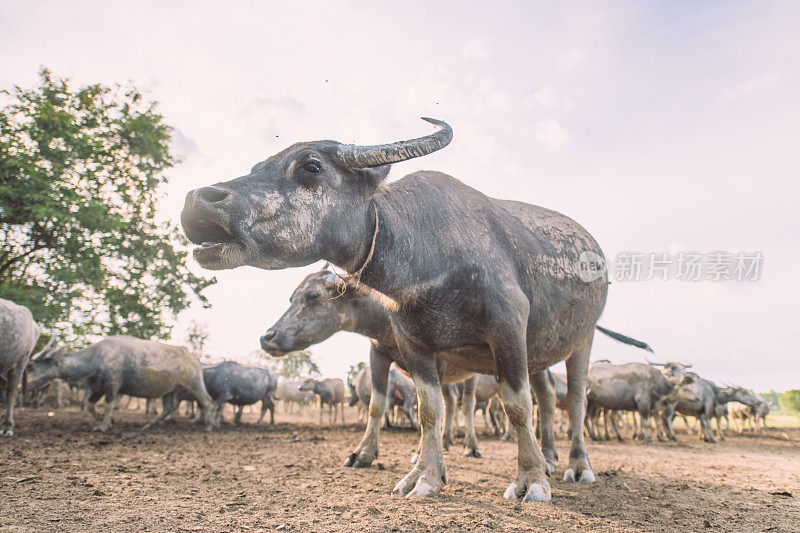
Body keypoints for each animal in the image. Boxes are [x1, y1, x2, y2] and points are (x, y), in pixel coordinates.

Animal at [26, 334, 217, 430]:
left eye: (29, 366)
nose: (24, 385)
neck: (97, 356)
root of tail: (193, 358)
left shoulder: (113, 384)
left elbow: (108, 405)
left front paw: (103, 425)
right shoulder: (97, 388)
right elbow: (89, 405)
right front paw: (106, 420)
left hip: (194, 383)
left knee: (207, 401)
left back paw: (209, 426)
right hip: (170, 390)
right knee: (168, 408)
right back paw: (148, 425)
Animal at [184, 118, 652, 500]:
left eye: (310, 167)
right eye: (293, 298)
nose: (196, 200)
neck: (426, 254)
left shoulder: (506, 330)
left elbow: (515, 406)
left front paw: (530, 481)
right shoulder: (407, 348)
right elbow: (419, 410)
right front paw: (417, 473)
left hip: (581, 341)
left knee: (572, 403)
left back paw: (573, 466)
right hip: (539, 354)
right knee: (547, 402)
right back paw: (550, 458)